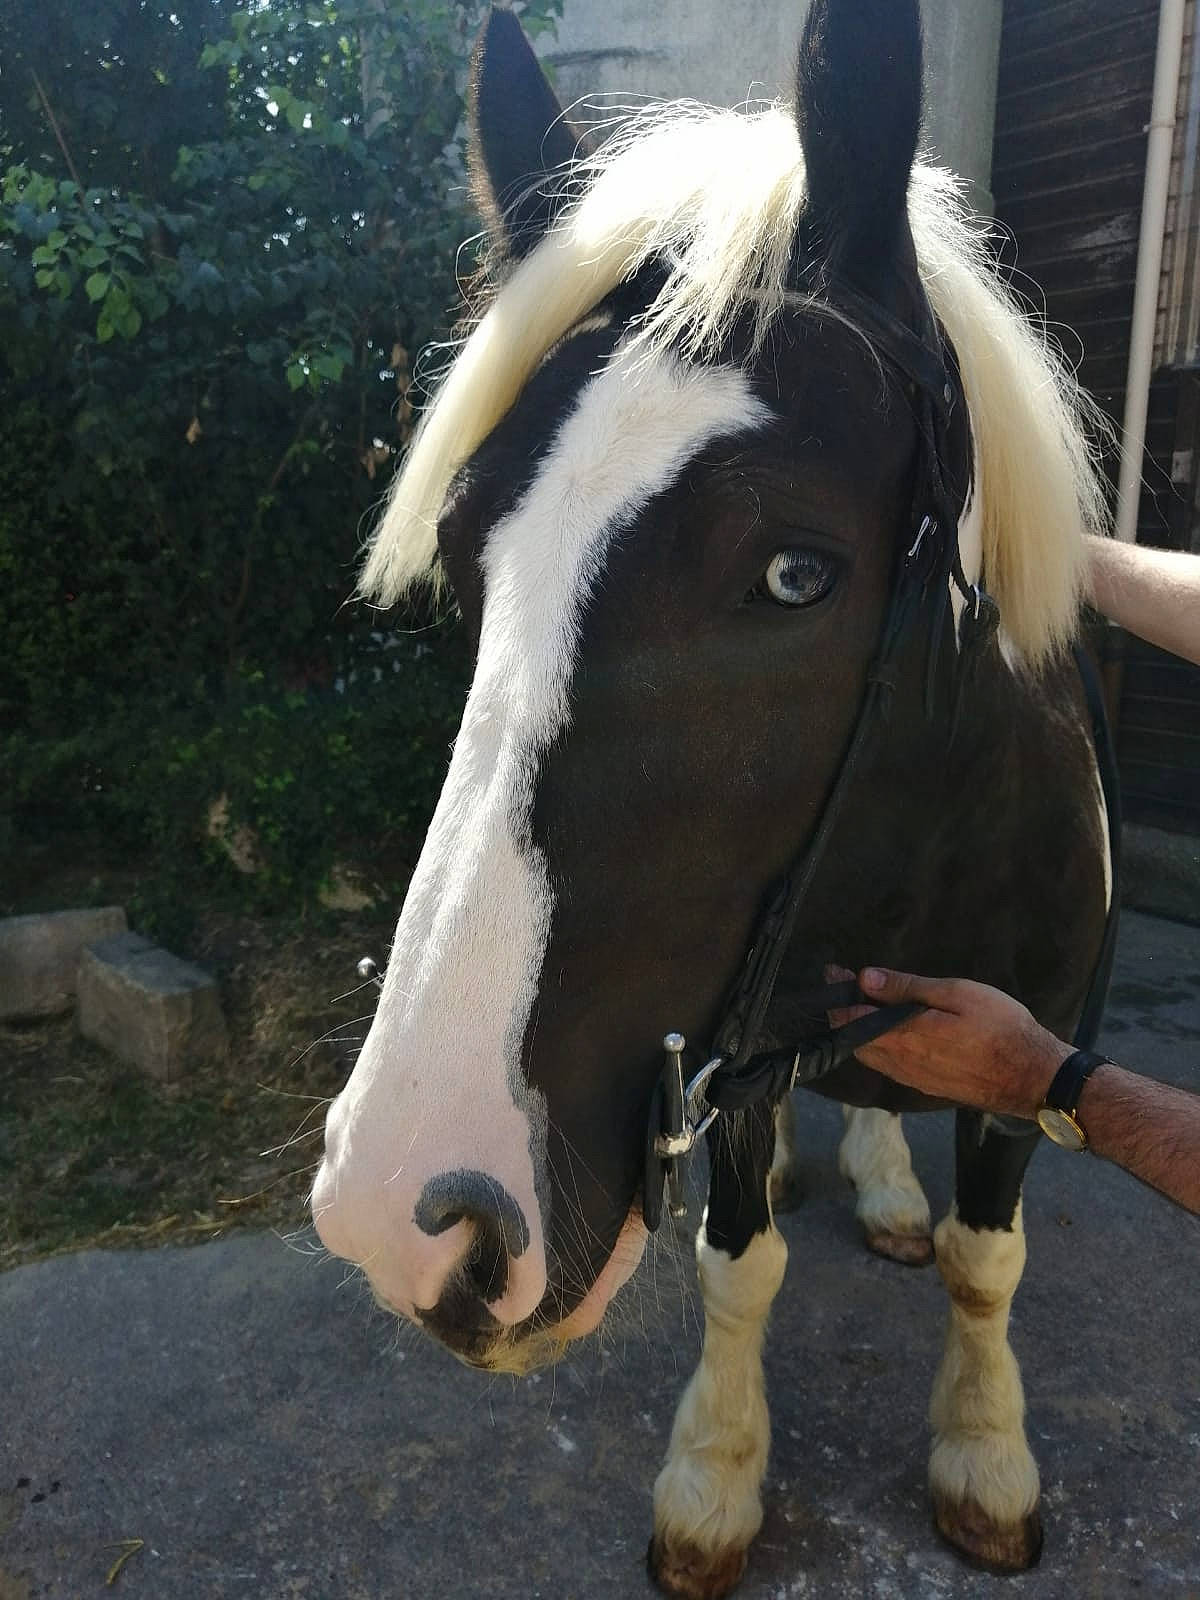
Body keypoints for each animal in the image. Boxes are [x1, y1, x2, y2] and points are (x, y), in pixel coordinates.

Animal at [311, 3, 1113, 1593]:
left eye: (796, 572)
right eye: (471, 555)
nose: (405, 1211)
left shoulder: (1034, 1042)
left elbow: (991, 1261)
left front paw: (986, 1449)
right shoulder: (731, 1054)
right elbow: (740, 1265)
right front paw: (719, 1471)